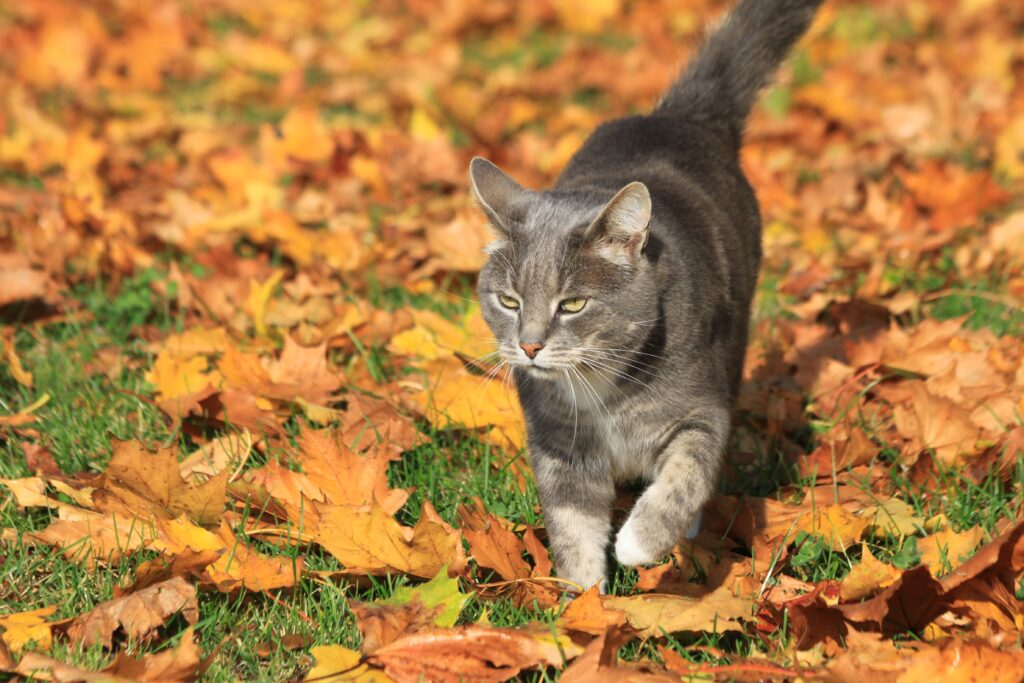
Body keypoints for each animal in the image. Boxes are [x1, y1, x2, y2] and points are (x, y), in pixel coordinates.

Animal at [471, 0, 823, 589]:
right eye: (509, 302)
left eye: (573, 304)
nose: (529, 346)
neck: (600, 394)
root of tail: (678, 117)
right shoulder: (558, 446)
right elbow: (572, 530)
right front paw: (584, 601)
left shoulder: (701, 413)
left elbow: (685, 475)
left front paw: (639, 542)